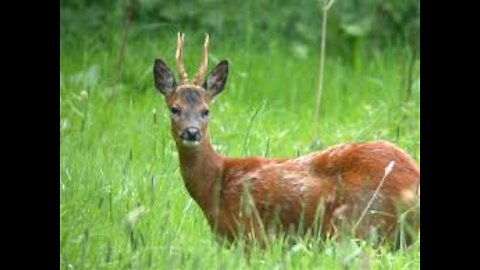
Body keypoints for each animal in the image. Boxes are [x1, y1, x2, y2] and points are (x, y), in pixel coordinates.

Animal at [152, 33, 418, 247]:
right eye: (175, 109)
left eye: (206, 110)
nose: (192, 132)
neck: (216, 184)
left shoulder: (250, 233)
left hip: (359, 224)